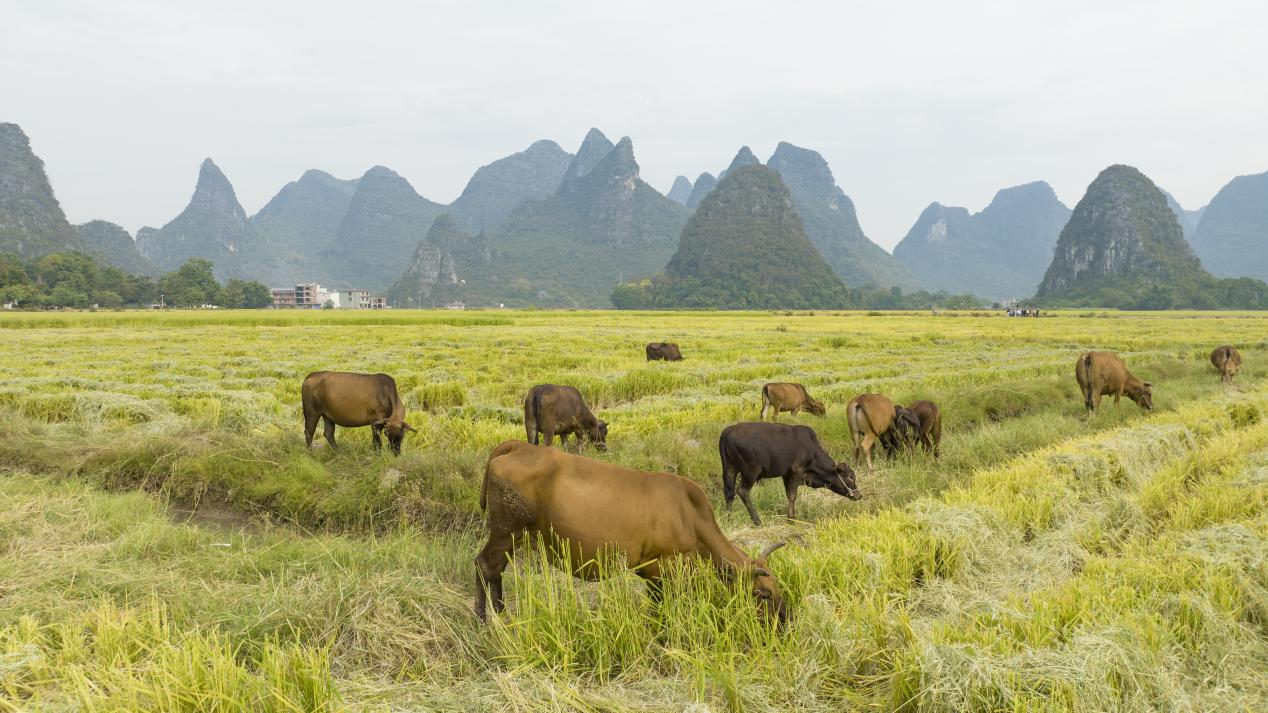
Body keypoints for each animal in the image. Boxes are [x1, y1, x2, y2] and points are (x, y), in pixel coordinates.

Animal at [476, 438, 786, 621]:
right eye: (763, 594)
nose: (785, 620)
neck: (690, 515)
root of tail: (519, 446)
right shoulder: (660, 569)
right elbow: (660, 607)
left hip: (515, 535)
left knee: (496, 570)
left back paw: (502, 615)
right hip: (505, 529)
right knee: (485, 565)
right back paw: (484, 620)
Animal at [720, 418, 857, 525]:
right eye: (851, 476)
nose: (858, 495)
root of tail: (728, 431)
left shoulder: (786, 474)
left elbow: (788, 494)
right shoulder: (796, 471)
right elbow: (792, 495)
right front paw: (791, 519)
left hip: (729, 469)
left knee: (729, 493)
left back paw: (729, 519)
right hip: (750, 472)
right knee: (742, 491)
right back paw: (757, 521)